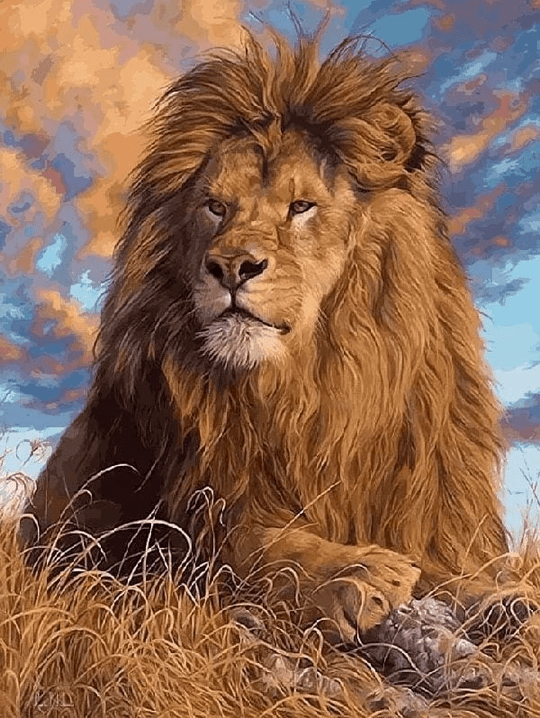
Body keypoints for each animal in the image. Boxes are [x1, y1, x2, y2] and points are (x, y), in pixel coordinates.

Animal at [22, 30, 511, 643]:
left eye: (301, 207)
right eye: (215, 206)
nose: (232, 266)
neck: (310, 388)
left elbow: (454, 570)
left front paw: (502, 598)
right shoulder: (189, 521)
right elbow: (265, 547)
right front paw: (356, 572)